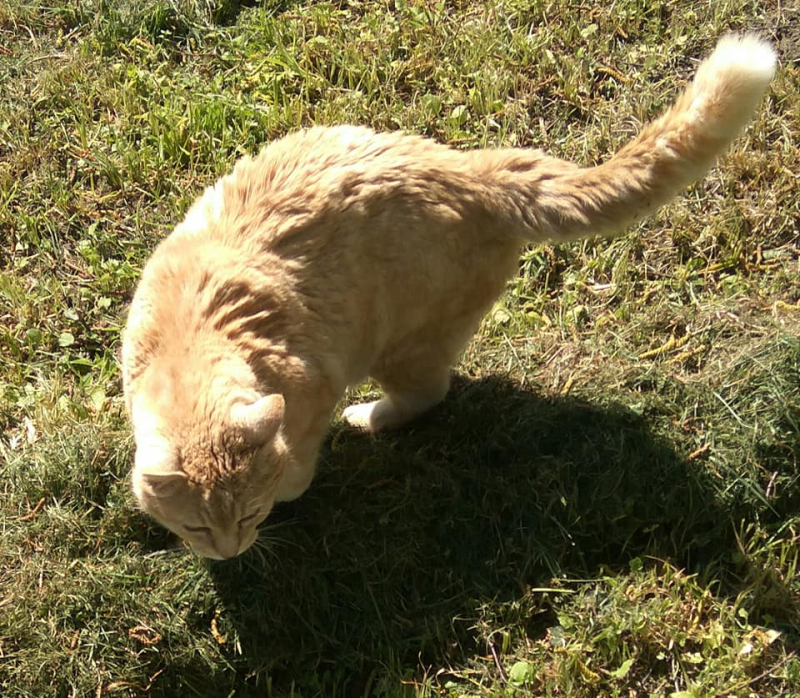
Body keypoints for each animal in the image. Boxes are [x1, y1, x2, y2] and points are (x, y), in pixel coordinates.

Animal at [123, 34, 776, 560]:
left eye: (248, 516)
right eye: (197, 528)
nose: (229, 553)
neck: (190, 340)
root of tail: (475, 170)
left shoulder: (310, 395)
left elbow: (296, 470)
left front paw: (288, 489)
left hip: (402, 345)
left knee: (427, 393)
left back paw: (371, 417)